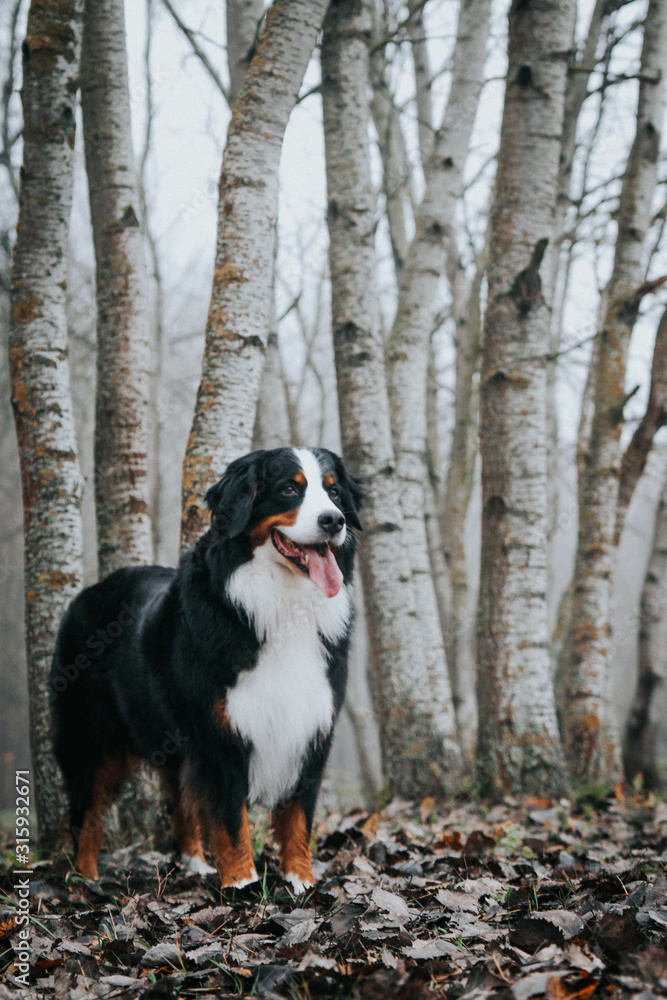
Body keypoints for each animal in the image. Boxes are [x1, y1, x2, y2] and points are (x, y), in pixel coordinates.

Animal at [49, 446, 362, 892]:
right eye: (289, 489)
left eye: (334, 493)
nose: (333, 521)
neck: (281, 605)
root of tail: (87, 593)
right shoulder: (219, 735)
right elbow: (231, 821)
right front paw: (242, 884)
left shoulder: (312, 727)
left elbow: (298, 816)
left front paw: (300, 881)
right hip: (88, 737)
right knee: (86, 815)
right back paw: (85, 880)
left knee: (178, 801)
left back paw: (194, 865)